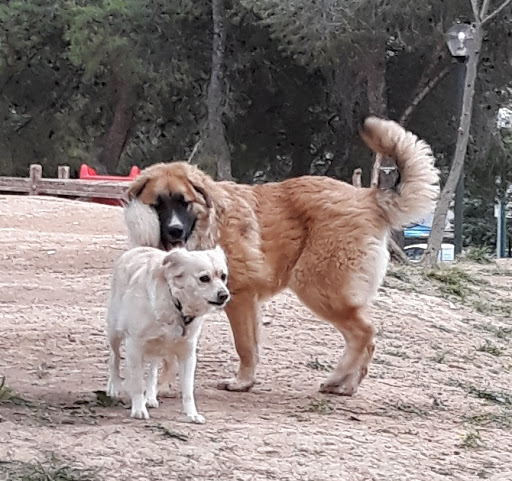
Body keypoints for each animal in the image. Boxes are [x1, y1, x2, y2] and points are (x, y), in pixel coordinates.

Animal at [106, 245, 230, 423]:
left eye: (223, 276)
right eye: (204, 278)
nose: (224, 295)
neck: (176, 305)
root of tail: (137, 248)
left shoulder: (188, 354)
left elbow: (188, 390)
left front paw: (192, 414)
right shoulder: (134, 347)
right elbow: (137, 384)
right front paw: (138, 409)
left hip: (156, 348)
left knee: (152, 371)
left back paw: (150, 397)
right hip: (115, 333)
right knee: (114, 358)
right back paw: (114, 387)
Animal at [123, 116, 440, 396]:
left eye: (183, 202)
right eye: (158, 204)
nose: (174, 231)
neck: (208, 227)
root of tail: (369, 198)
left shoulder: (241, 299)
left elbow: (245, 346)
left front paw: (242, 383)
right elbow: (175, 351)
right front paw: (163, 386)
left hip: (318, 288)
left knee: (364, 332)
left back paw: (337, 378)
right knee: (365, 338)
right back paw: (347, 385)